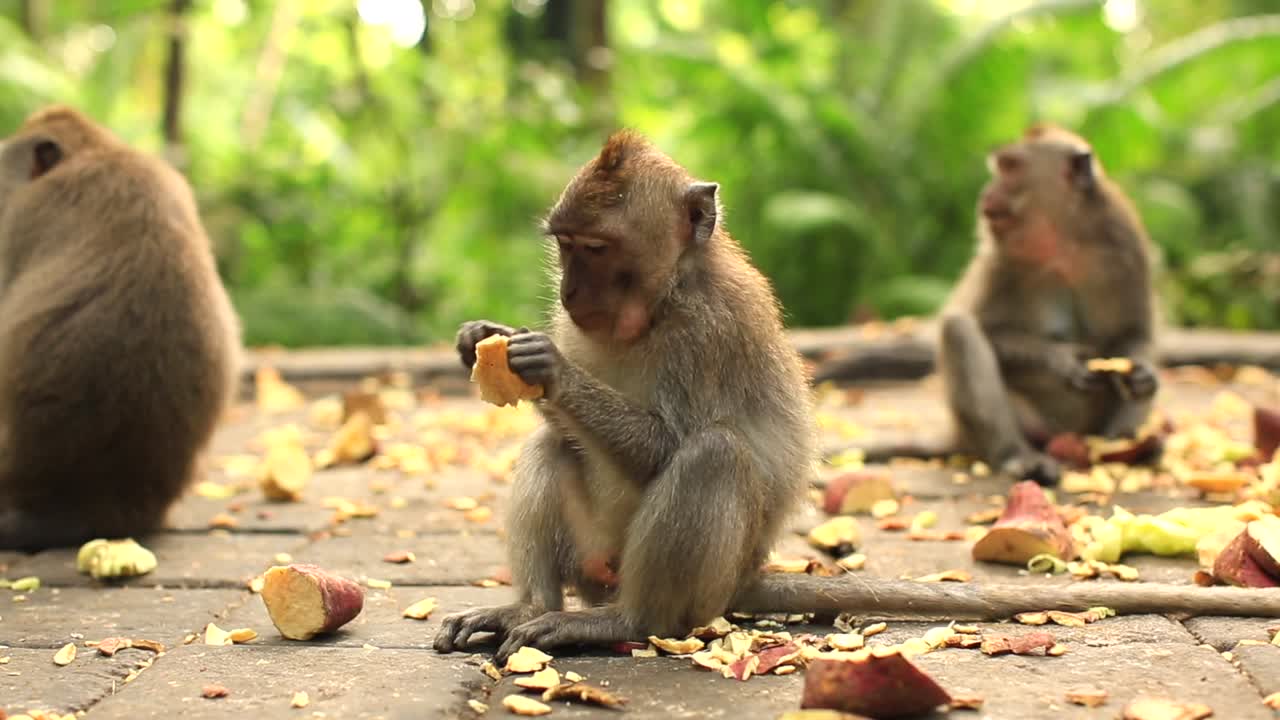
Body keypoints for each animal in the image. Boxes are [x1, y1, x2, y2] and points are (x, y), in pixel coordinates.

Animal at [933, 124, 1161, 486]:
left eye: (1010, 167)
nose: (986, 193)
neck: (1063, 239)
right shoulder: (1000, 260)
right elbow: (984, 326)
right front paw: (1062, 361)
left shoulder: (1127, 247)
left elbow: (1135, 331)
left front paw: (1141, 374)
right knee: (959, 329)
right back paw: (1017, 455)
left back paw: (1127, 447)